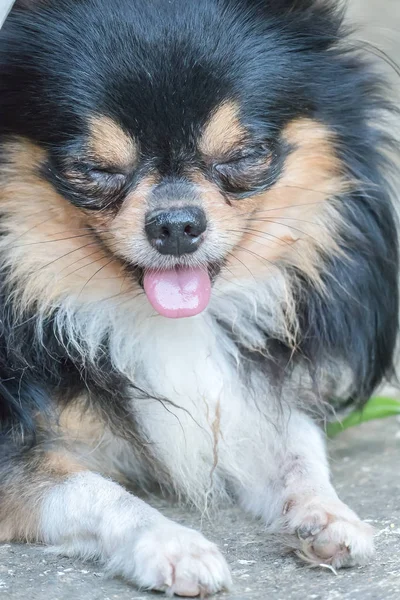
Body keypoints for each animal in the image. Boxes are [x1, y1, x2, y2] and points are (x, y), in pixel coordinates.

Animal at [0, 1, 396, 596]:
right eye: (93, 170)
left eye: (244, 155)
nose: (176, 223)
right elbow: (98, 493)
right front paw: (171, 543)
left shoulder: (243, 403)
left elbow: (298, 446)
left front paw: (325, 514)